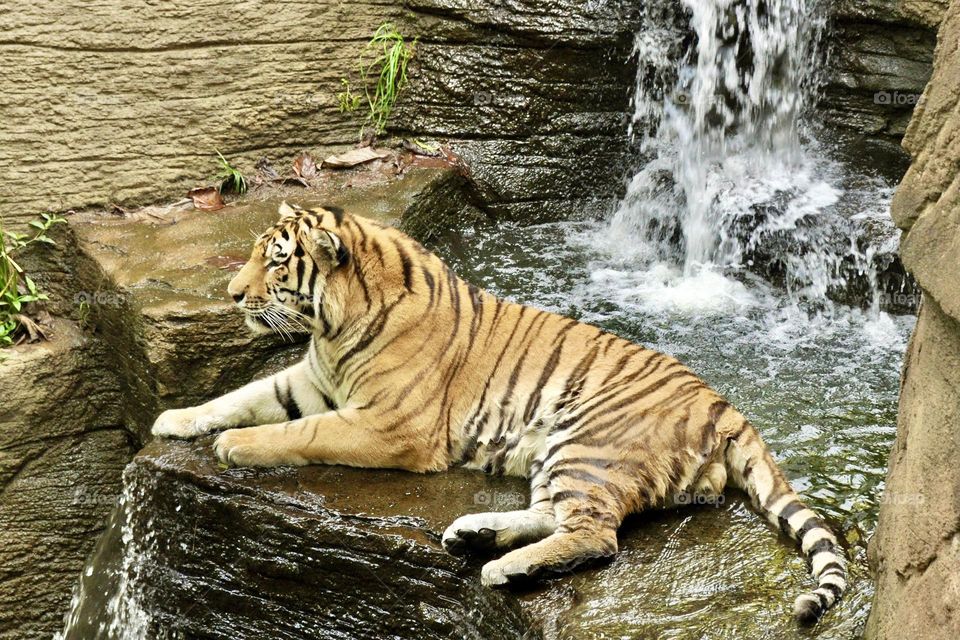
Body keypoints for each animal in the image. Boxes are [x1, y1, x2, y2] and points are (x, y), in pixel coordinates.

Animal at [152, 204, 848, 624]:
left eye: (274, 261)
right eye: (253, 255)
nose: (232, 295)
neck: (332, 327)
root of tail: (724, 404)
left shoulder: (390, 426)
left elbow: (301, 429)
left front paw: (236, 445)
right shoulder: (311, 379)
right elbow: (241, 396)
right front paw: (175, 419)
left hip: (587, 443)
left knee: (595, 534)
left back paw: (499, 567)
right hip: (561, 452)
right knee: (555, 515)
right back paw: (476, 535)